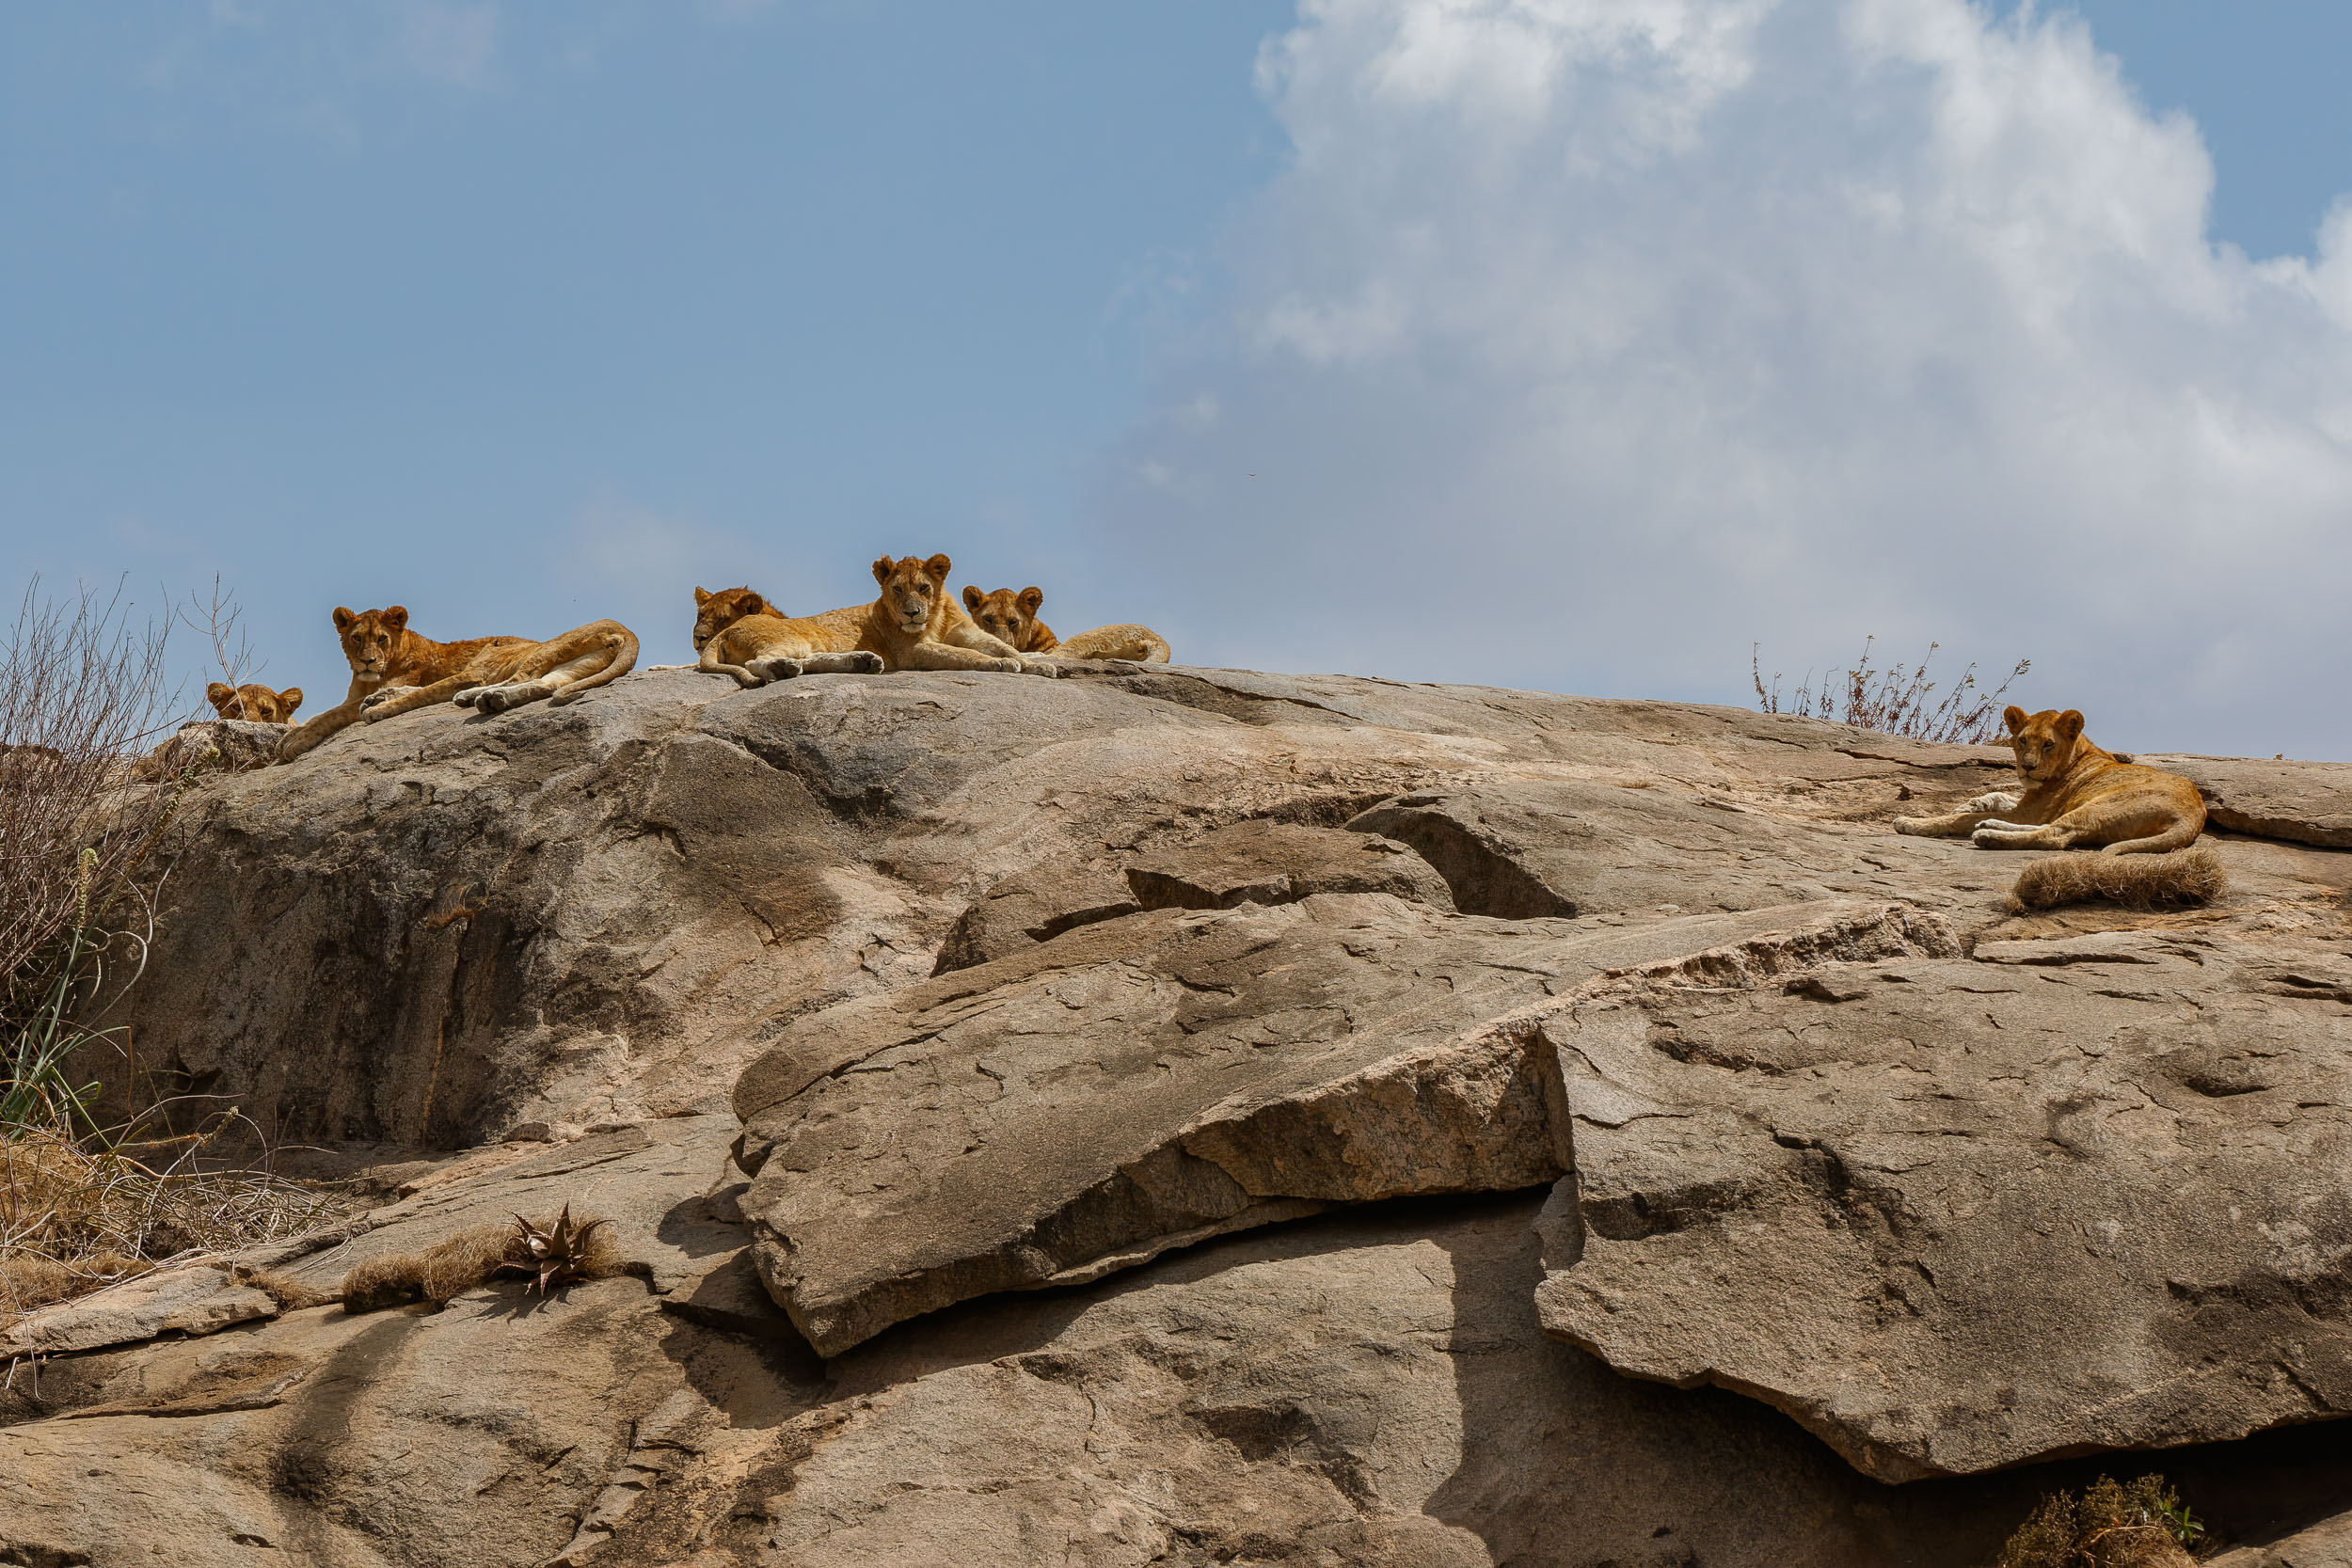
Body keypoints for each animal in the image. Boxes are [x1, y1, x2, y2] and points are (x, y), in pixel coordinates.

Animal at [278, 606, 638, 762]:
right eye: (356, 638)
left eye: (381, 639)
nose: (367, 661)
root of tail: (627, 632)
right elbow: (321, 714)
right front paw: (289, 738)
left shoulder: (466, 672)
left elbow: (332, 715)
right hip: (571, 665)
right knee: (543, 685)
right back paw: (490, 700)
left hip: (543, 650)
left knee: (519, 678)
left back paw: (480, 698)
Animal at [691, 587, 884, 687]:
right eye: (701, 615)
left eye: (722, 618)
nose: (698, 637)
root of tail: (725, 633)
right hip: (792, 641)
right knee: (753, 663)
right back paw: (780, 668)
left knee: (808, 661)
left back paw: (863, 661)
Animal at [859, 555, 1058, 676]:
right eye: (897, 589)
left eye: (923, 587)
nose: (911, 613)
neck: (935, 619)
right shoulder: (911, 649)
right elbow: (962, 653)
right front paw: (1000, 662)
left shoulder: (969, 635)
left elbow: (1005, 648)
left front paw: (1037, 665)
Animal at [960, 585, 1171, 663]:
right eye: (988, 619)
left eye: (1013, 622)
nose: (1000, 641)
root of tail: (1161, 641)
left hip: (1087, 635)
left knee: (1057, 656)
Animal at [1892, 705, 2220, 908]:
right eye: (2022, 740)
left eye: (2048, 743)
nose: (2027, 767)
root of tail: (2195, 814)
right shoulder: (2030, 805)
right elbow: (2000, 796)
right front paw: (1973, 803)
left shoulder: (2032, 808)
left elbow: (1956, 820)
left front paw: (1913, 822)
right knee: (2052, 828)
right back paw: (1989, 825)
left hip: (2103, 802)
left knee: (2055, 836)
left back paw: (1988, 835)